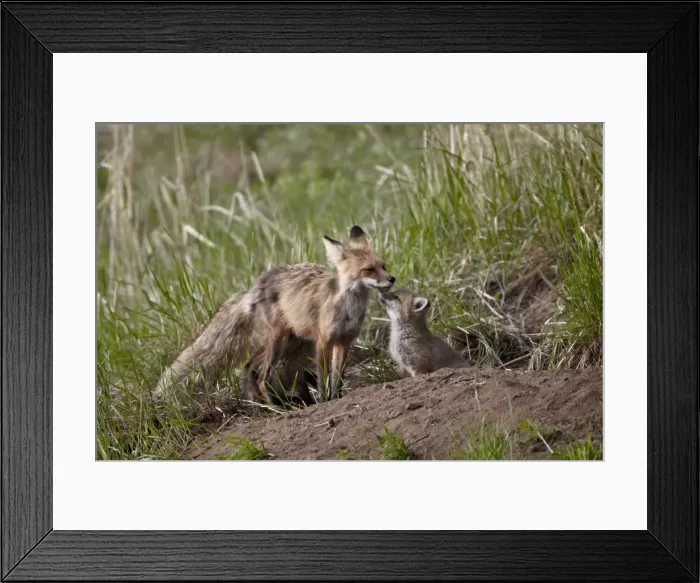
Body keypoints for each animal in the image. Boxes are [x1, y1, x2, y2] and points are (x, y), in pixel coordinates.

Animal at [155, 225, 394, 405]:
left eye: (383, 265)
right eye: (368, 270)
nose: (392, 279)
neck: (347, 310)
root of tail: (255, 286)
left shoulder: (344, 342)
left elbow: (338, 378)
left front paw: (338, 397)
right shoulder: (323, 342)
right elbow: (324, 377)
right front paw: (327, 400)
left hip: (290, 341)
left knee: (251, 366)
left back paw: (272, 402)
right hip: (279, 338)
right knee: (262, 375)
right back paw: (279, 405)